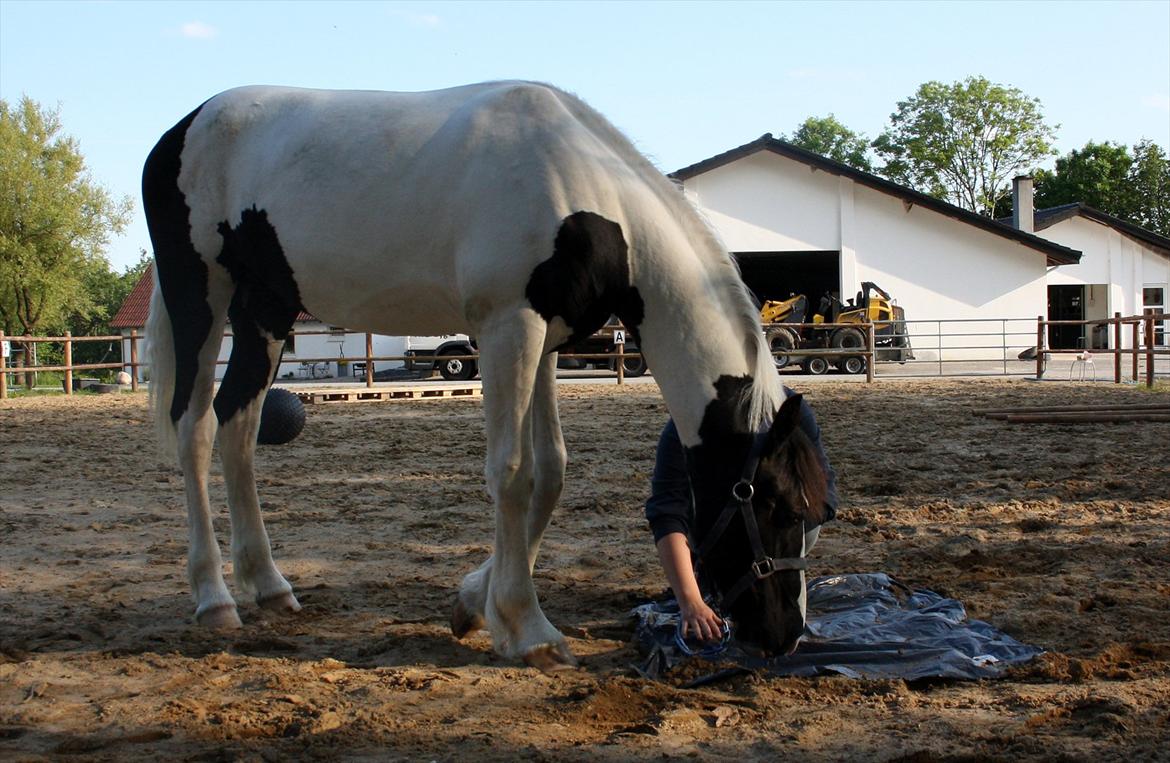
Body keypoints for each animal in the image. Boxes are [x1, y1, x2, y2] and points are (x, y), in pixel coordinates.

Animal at [143, 80, 823, 669]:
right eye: (779, 508)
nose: (786, 636)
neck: (580, 191)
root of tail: (182, 129)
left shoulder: (545, 341)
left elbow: (551, 472)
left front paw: (473, 604)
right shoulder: (507, 329)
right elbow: (513, 474)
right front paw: (528, 629)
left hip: (265, 311)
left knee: (239, 427)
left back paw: (269, 586)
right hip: (202, 298)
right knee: (194, 428)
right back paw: (215, 598)